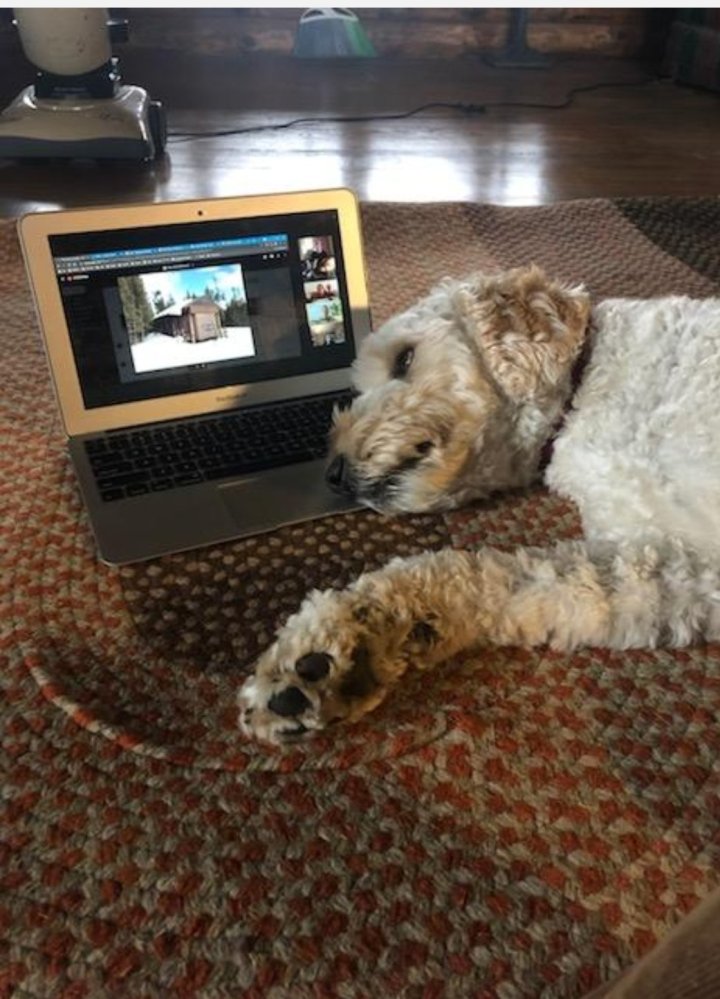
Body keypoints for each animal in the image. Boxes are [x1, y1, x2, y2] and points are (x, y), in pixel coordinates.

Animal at [239, 266, 720, 744]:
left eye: (404, 359)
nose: (333, 474)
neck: (585, 387)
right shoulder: (678, 570)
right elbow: (498, 578)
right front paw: (352, 648)